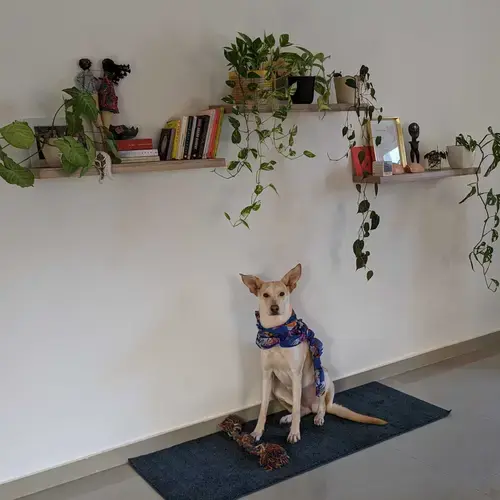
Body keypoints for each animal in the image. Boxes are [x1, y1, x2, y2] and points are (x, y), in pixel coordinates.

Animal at [241, 264, 386, 444]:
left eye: (282, 293)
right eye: (265, 295)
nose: (274, 308)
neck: (278, 334)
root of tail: (312, 405)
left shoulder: (296, 373)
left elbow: (296, 409)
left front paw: (294, 433)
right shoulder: (267, 375)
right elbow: (263, 409)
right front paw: (257, 432)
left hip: (323, 377)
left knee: (321, 406)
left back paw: (319, 417)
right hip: (277, 388)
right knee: (302, 409)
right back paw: (289, 417)